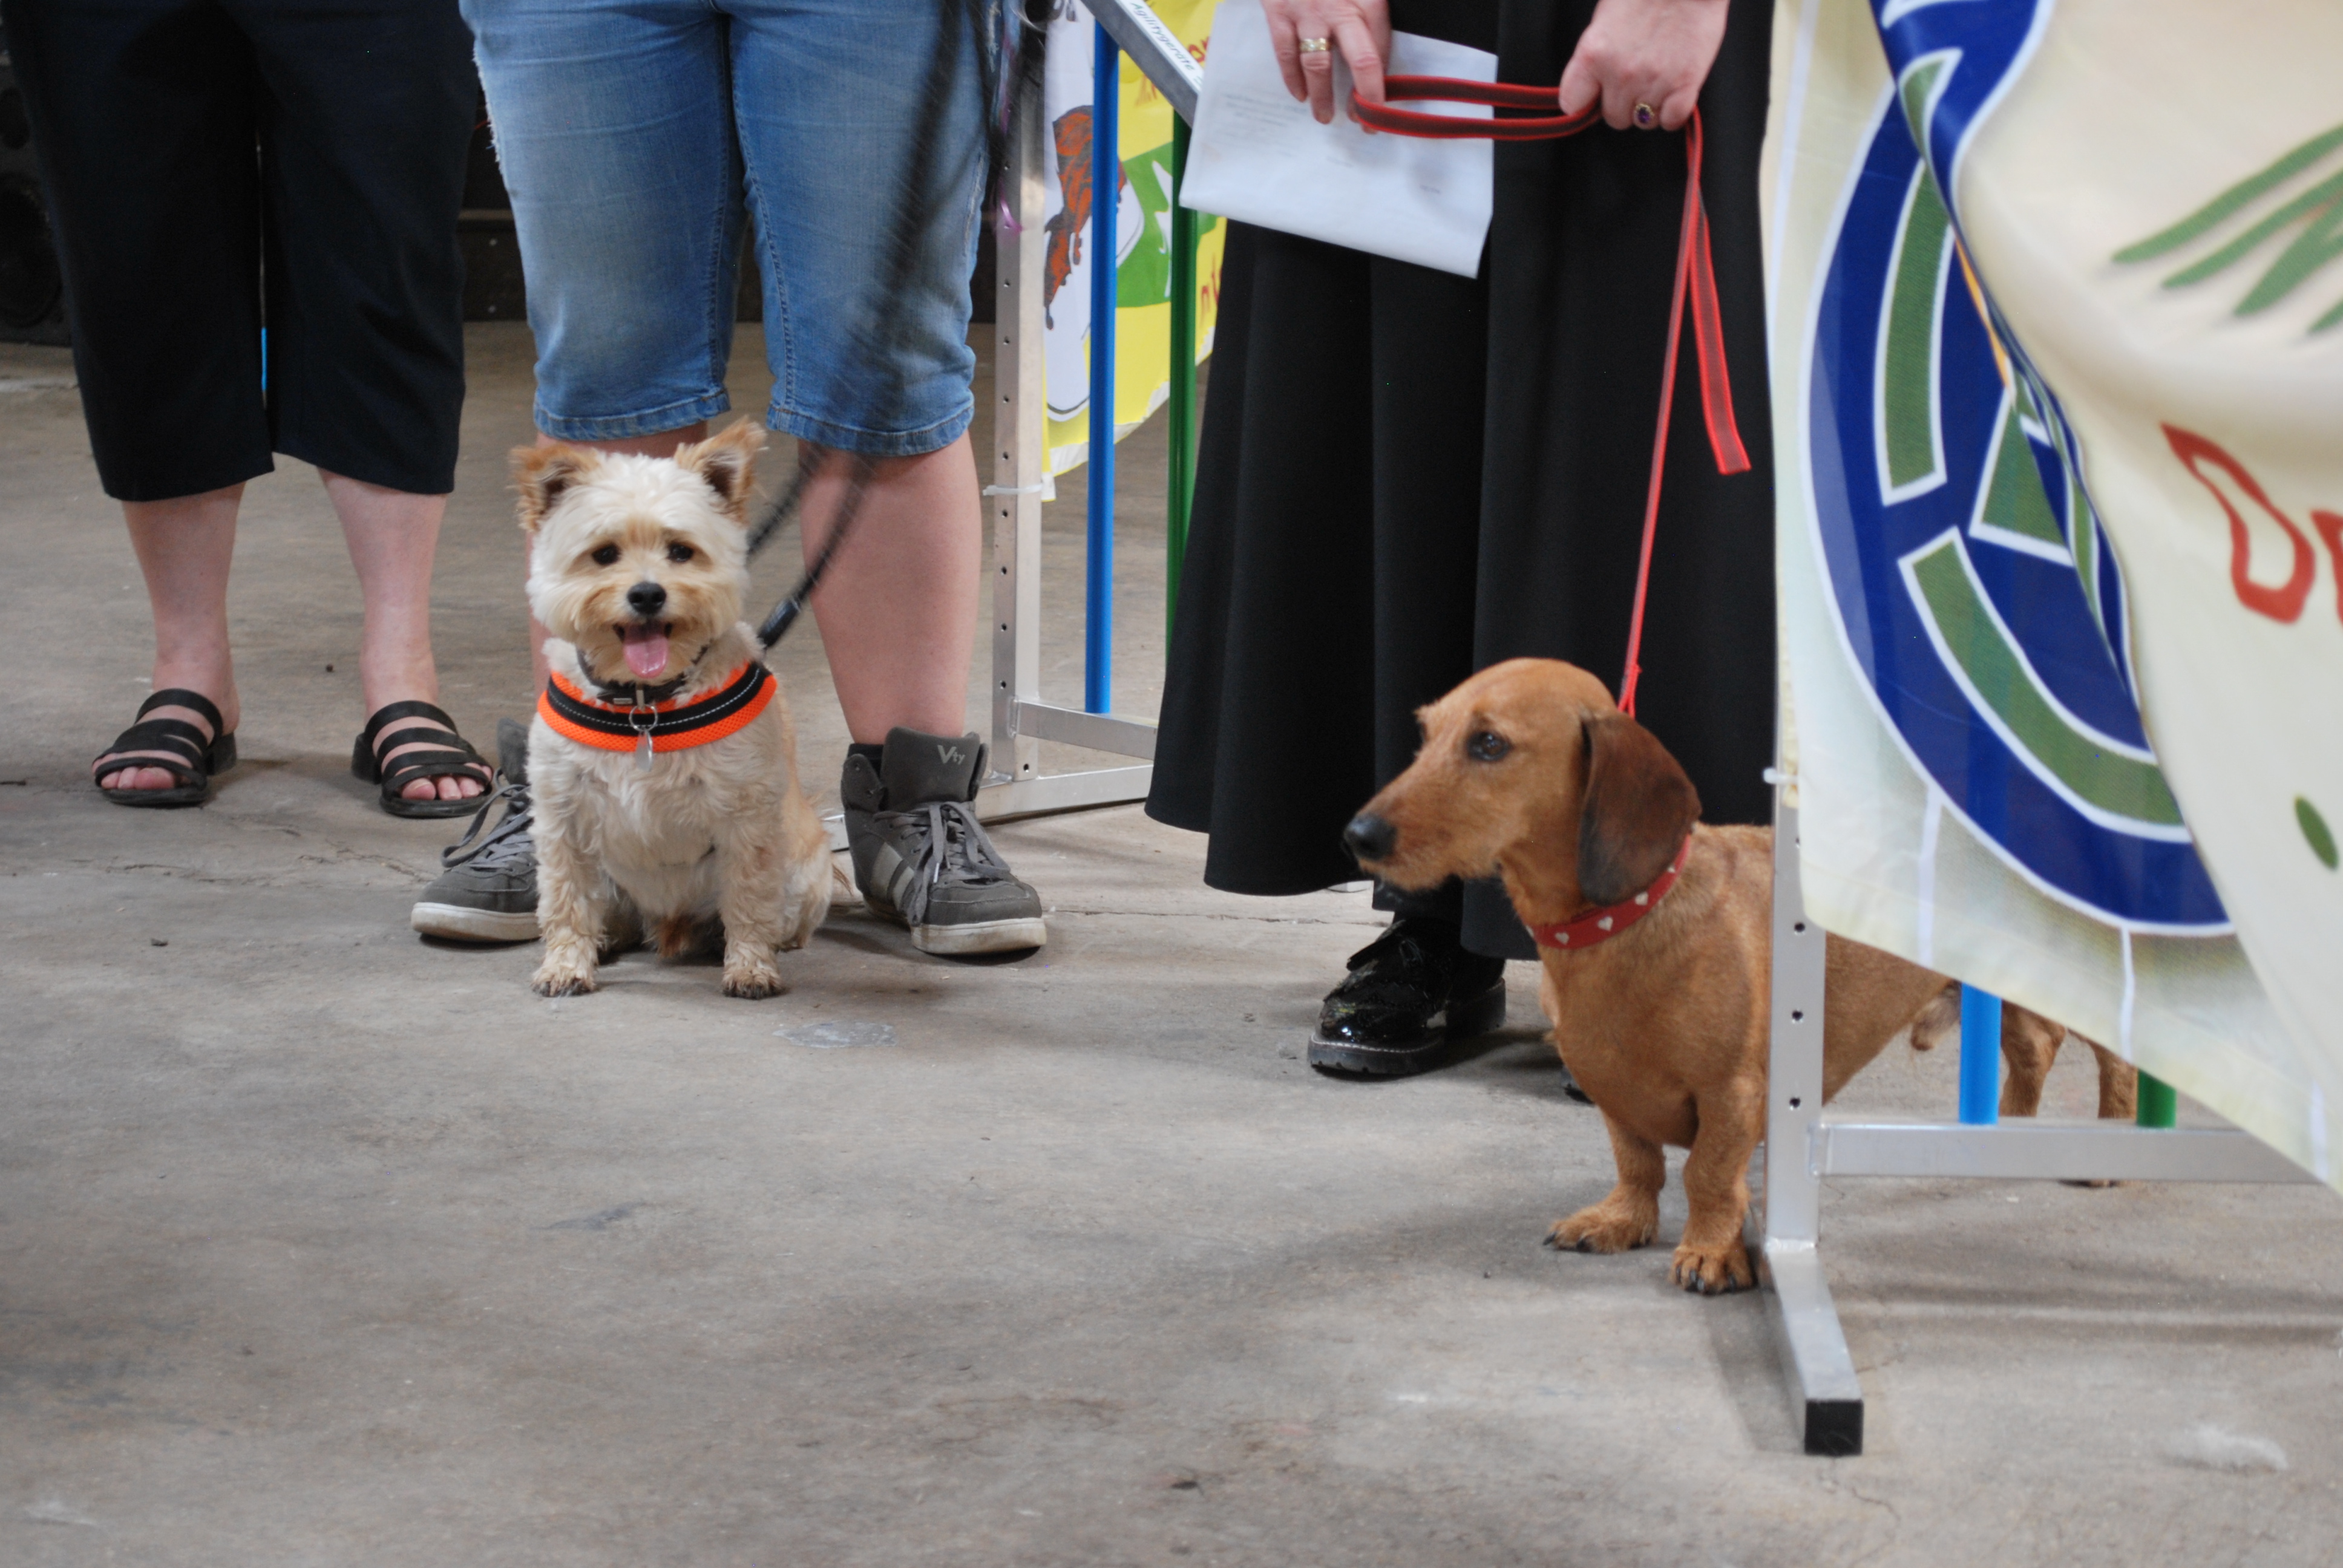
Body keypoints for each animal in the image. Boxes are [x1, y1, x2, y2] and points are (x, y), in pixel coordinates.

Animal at [515, 422, 834, 998]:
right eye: (604, 554)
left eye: (681, 552)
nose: (647, 594)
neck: (645, 704)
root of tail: (669, 924)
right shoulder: (563, 820)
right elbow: (566, 900)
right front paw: (566, 963)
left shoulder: (746, 820)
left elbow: (749, 898)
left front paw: (750, 966)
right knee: (607, 912)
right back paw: (605, 941)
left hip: (802, 869)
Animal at [1349, 656, 1949, 1293]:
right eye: (1425, 735)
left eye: (1489, 743)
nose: (1358, 835)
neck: (1623, 920)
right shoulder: (1611, 1090)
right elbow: (1637, 1163)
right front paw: (1621, 1221)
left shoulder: (1732, 1095)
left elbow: (1708, 1175)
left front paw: (1711, 1250)